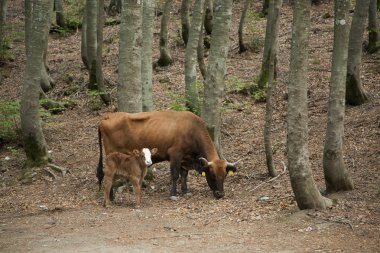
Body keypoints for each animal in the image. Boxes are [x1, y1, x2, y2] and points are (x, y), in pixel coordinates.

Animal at [96, 110, 236, 200]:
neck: (191, 130)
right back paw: (111, 197)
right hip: (112, 156)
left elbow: (184, 175)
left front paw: (185, 191)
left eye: (224, 176)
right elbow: (175, 175)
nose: (220, 194)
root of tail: (107, 116)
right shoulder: (175, 155)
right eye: (212, 175)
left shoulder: (185, 159)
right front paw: (173, 194)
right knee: (109, 176)